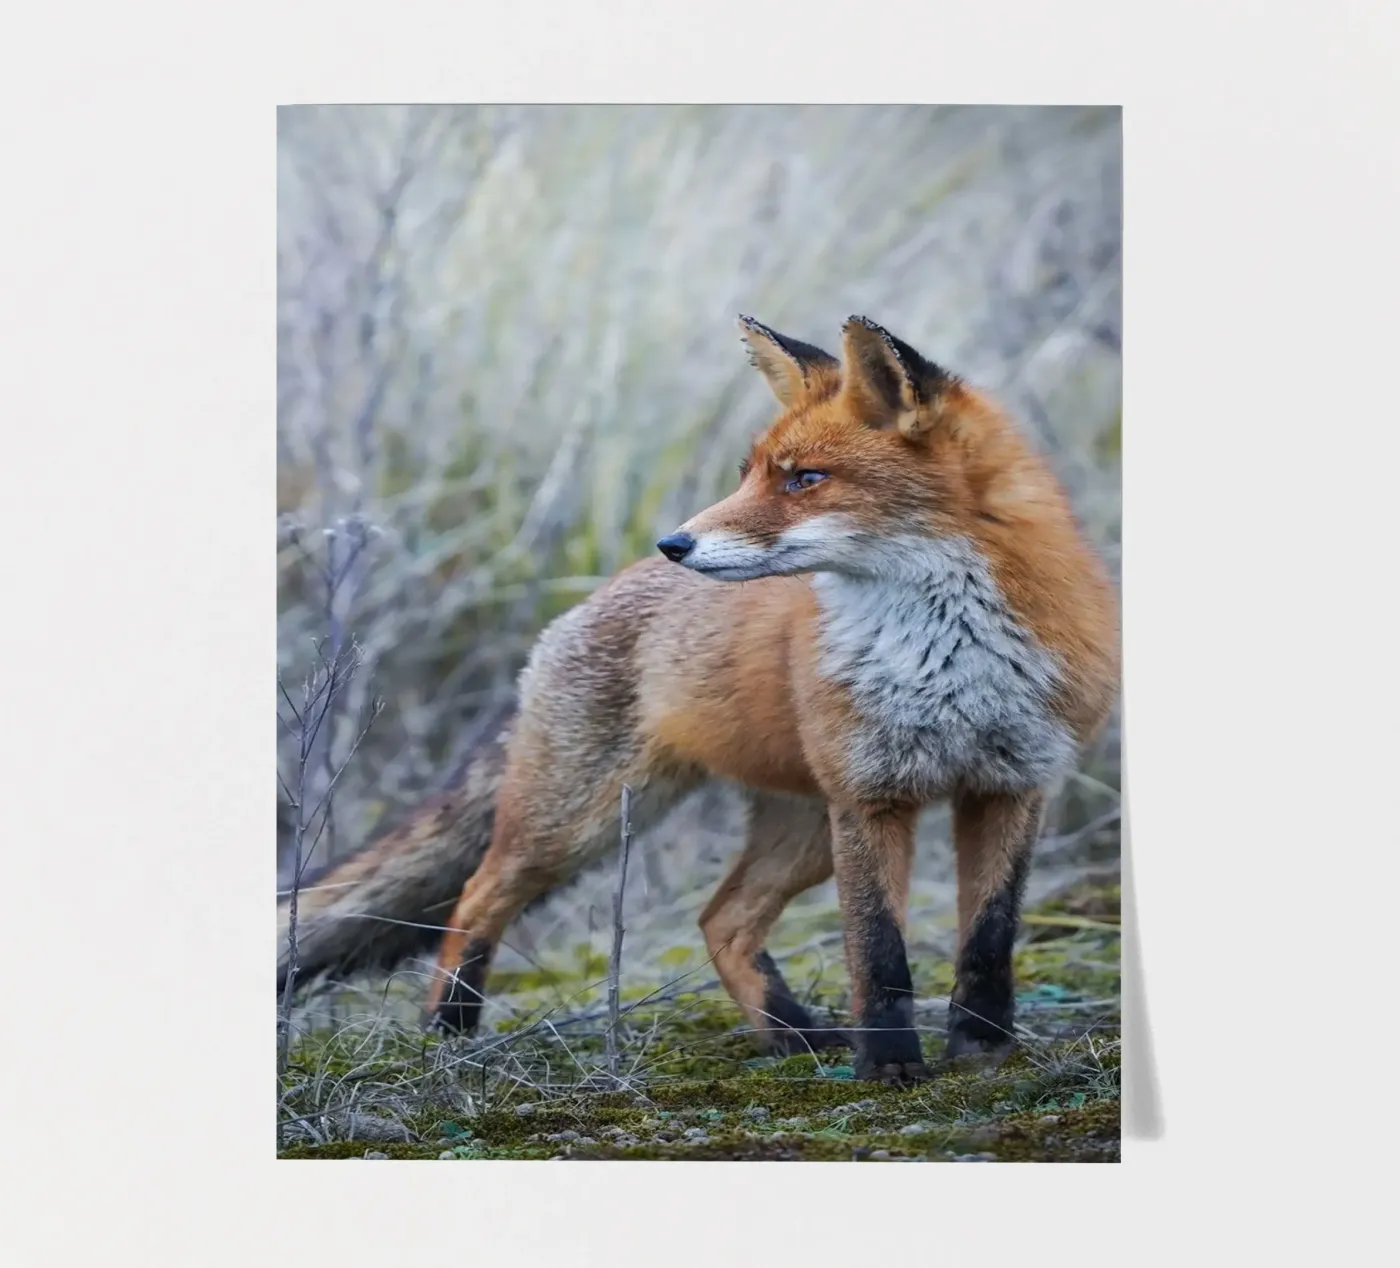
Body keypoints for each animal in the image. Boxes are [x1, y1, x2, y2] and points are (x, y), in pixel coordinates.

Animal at [278, 315, 1120, 1084]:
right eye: (750, 473)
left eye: (804, 479)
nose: (674, 544)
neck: (947, 656)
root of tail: (591, 600)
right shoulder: (871, 797)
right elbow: (878, 953)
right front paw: (889, 1067)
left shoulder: (1011, 785)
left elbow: (988, 941)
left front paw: (983, 1052)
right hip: (582, 821)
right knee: (477, 896)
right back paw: (449, 1030)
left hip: (801, 832)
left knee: (721, 920)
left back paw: (791, 1034)